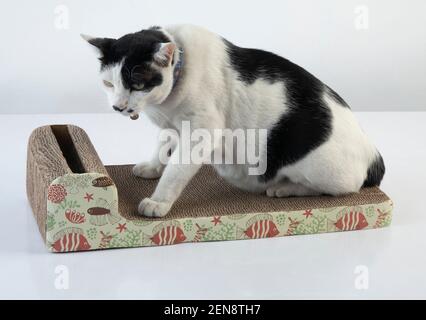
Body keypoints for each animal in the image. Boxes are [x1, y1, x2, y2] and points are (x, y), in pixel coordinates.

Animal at [81, 25, 384, 218]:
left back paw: (284, 188)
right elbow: (163, 145)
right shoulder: (173, 126)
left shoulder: (202, 132)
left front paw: (158, 201)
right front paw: (153, 166)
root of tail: (374, 154)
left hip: (319, 167)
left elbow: (176, 170)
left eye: (137, 84)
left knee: (342, 188)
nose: (118, 106)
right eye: (108, 83)